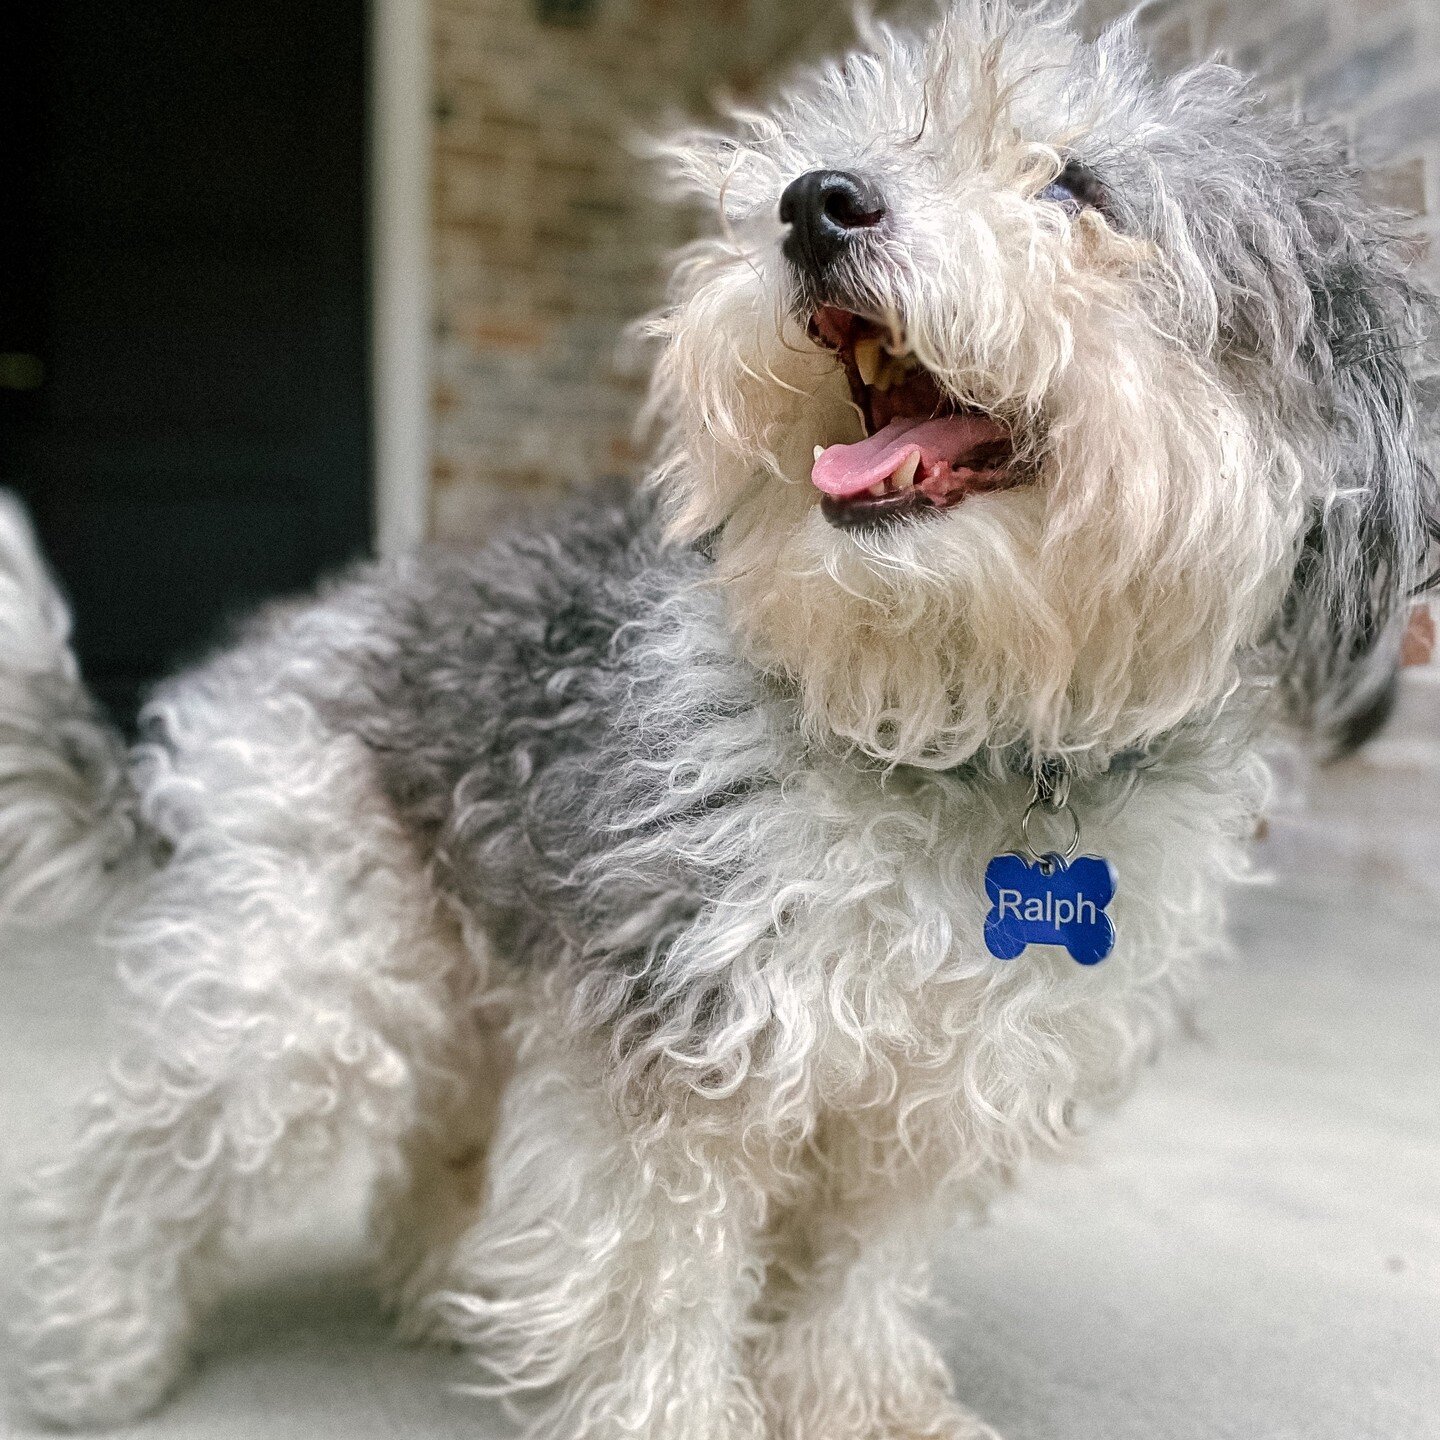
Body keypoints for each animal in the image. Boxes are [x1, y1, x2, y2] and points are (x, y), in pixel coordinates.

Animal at [2, 2, 1440, 1440]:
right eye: (837, 151)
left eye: (1074, 188)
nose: (815, 203)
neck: (955, 732)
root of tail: (297, 633)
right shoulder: (685, 1047)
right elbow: (662, 1279)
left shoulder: (933, 1082)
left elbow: (863, 1265)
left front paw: (861, 1399)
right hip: (305, 983)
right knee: (134, 1159)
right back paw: (95, 1351)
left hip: (464, 975)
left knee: (427, 1142)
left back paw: (437, 1284)